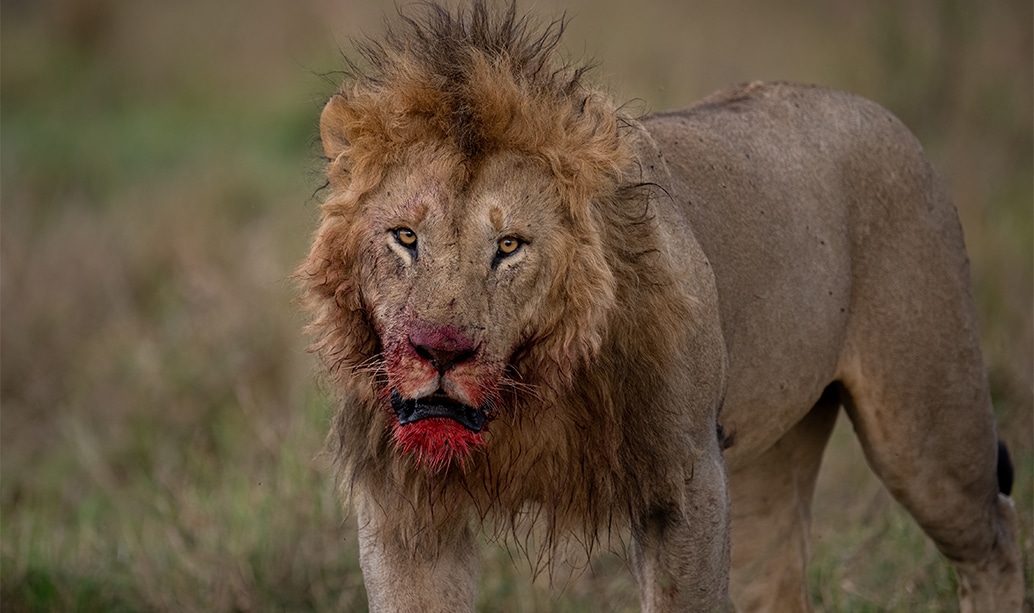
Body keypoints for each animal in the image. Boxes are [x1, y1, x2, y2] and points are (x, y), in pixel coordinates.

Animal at [298, 2, 1023, 611]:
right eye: (405, 237)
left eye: (509, 246)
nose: (440, 351)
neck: (528, 393)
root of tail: (879, 112)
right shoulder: (403, 506)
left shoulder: (688, 482)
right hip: (770, 459)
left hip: (925, 431)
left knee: (996, 539)